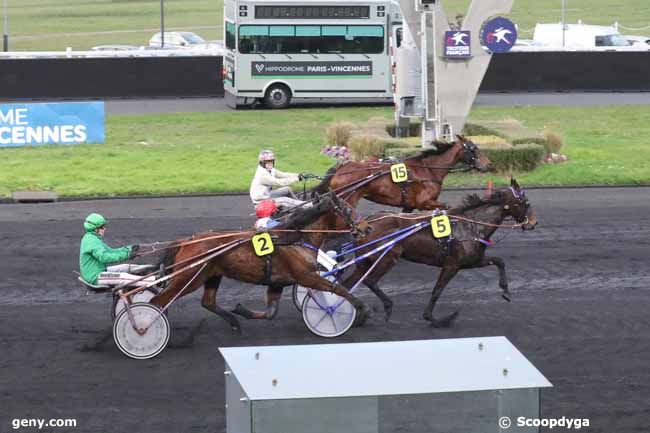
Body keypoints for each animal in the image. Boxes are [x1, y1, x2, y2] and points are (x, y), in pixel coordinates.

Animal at [149, 192, 368, 330]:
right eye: (348, 210)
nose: (367, 227)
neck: (295, 237)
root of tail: (187, 241)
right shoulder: (306, 276)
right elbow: (337, 289)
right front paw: (360, 309)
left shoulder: (278, 283)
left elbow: (271, 312)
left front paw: (242, 310)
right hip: (189, 278)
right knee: (157, 302)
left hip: (211, 275)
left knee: (207, 302)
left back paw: (234, 322)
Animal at [312, 134, 488, 210]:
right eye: (474, 149)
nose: (489, 164)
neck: (429, 170)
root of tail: (341, 168)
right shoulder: (424, 202)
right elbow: (446, 207)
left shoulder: (410, 205)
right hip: (347, 199)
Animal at [336, 177, 536, 326]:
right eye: (526, 202)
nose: (534, 223)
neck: (471, 226)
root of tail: (366, 223)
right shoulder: (451, 266)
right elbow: (437, 291)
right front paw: (434, 318)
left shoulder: (471, 261)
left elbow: (500, 261)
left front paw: (506, 291)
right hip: (387, 258)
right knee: (369, 281)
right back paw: (386, 307)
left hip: (365, 262)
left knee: (345, 286)